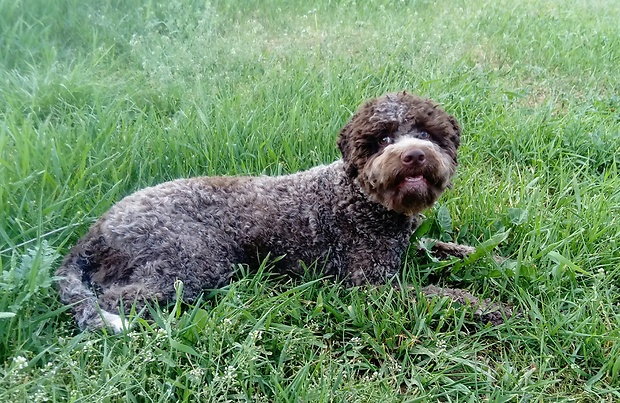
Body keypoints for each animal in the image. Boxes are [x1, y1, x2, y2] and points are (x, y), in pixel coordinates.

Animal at [55, 91, 504, 332]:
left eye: (426, 133)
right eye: (382, 139)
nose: (413, 155)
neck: (362, 199)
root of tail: (99, 227)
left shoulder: (411, 243)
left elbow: (448, 247)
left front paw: (495, 260)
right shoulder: (371, 287)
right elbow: (435, 295)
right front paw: (483, 305)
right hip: (190, 260)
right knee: (116, 299)